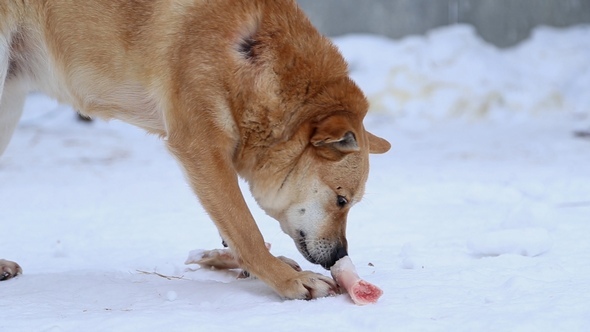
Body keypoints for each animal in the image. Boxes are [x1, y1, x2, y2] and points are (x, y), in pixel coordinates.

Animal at [1, 0, 394, 300]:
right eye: (341, 201)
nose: (341, 255)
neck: (254, 65)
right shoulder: (200, 149)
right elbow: (246, 230)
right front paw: (288, 280)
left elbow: (234, 231)